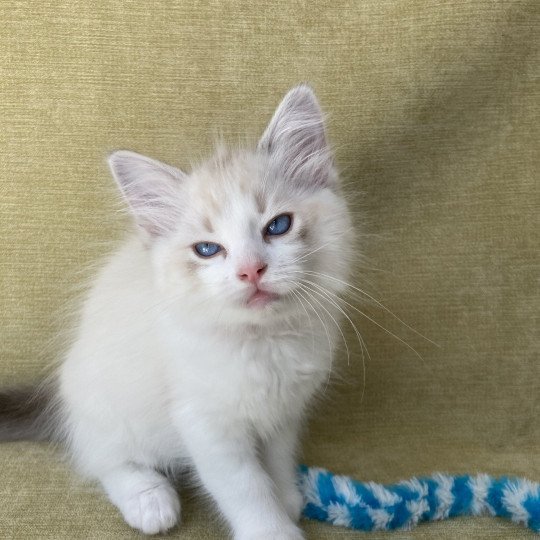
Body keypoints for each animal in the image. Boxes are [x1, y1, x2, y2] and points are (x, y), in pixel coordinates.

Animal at [1, 85, 354, 540]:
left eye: (277, 226)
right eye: (207, 249)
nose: (251, 270)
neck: (263, 342)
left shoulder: (284, 414)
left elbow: (275, 464)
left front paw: (288, 500)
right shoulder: (205, 423)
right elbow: (247, 487)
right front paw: (272, 531)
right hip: (109, 409)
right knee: (104, 460)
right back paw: (150, 500)